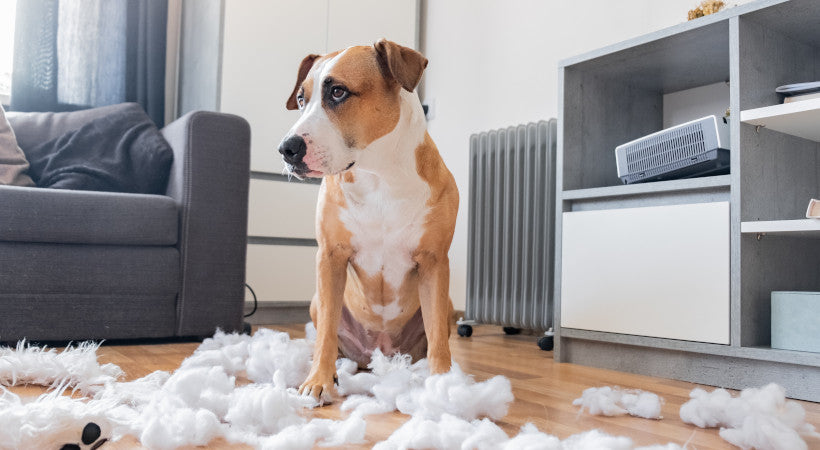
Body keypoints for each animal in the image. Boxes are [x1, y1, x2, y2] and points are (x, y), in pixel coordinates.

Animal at [278, 39, 458, 400]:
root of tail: (380, 352)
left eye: (337, 92)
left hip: (447, 303)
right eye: (302, 98)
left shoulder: (434, 261)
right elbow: (326, 331)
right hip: (317, 301)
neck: (379, 175)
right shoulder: (330, 257)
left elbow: (437, 338)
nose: (286, 149)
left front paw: (442, 385)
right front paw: (318, 381)